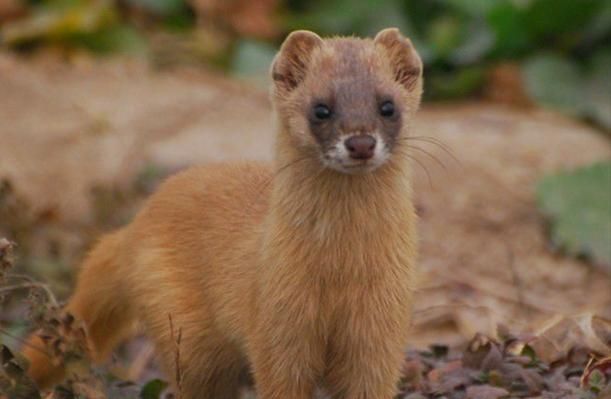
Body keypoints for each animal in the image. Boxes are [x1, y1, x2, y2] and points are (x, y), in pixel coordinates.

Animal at [25, 28, 426, 399]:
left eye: (388, 105)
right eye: (320, 108)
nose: (361, 142)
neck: (340, 275)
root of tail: (134, 225)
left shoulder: (380, 331)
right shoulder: (275, 322)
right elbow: (278, 379)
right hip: (185, 335)